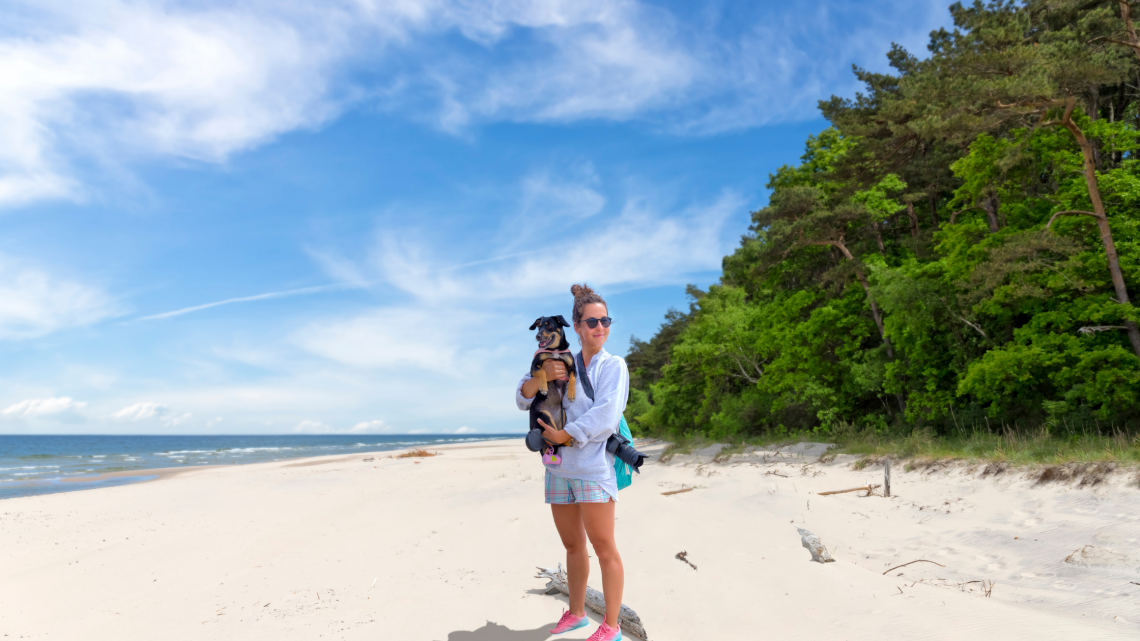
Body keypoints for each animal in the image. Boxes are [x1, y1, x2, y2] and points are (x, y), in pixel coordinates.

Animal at [526, 314, 574, 447]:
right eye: (538, 326)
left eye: (549, 325)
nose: (537, 336)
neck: (555, 350)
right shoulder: (534, 367)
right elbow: (543, 371)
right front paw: (543, 388)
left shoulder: (572, 367)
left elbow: (572, 378)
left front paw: (572, 394)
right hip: (544, 415)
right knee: (555, 438)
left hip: (563, 414)